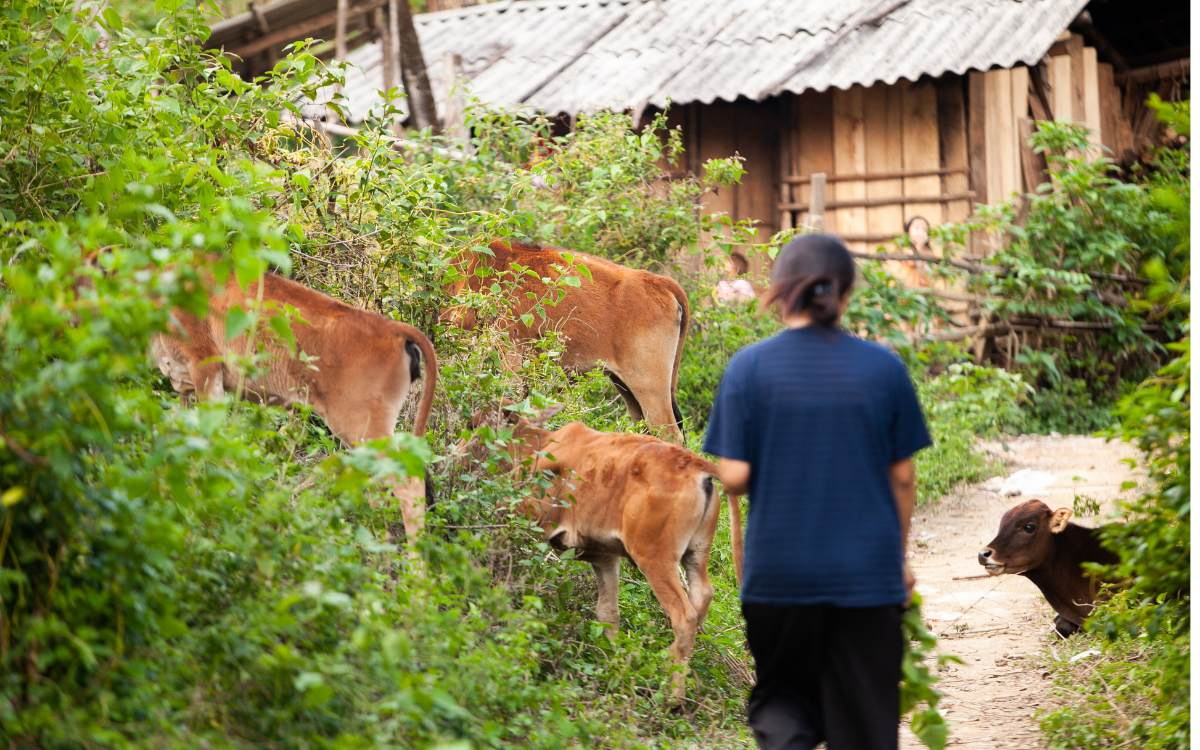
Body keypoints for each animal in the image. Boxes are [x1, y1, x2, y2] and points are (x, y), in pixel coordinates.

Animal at [470, 405, 739, 700]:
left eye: (475, 425)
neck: (539, 446)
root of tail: (696, 464)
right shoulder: (604, 557)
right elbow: (608, 613)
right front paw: (615, 667)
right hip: (696, 554)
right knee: (702, 595)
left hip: (655, 559)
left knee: (684, 615)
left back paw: (672, 697)